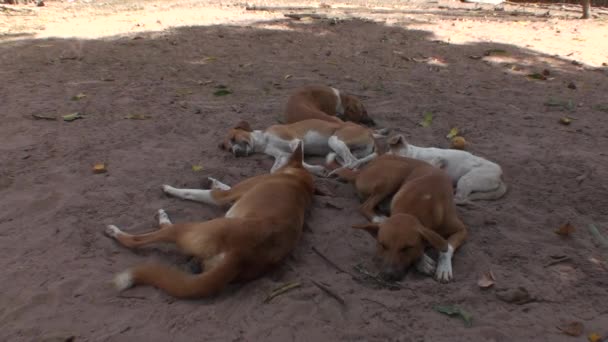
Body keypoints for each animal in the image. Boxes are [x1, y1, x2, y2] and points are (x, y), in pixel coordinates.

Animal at [104, 143, 314, 298]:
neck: (299, 181)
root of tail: (241, 254)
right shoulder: (232, 193)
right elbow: (223, 186)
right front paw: (214, 181)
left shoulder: (223, 196)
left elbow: (194, 192)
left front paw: (172, 189)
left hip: (191, 229)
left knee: (138, 240)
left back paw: (121, 230)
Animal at [220, 119, 384, 176]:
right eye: (229, 149)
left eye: (234, 139)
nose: (235, 153)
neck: (264, 140)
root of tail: (369, 133)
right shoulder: (282, 155)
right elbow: (274, 170)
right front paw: (316, 170)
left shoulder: (296, 142)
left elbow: (300, 161)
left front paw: (317, 169)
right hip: (339, 152)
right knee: (355, 163)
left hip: (334, 140)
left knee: (352, 162)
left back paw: (335, 172)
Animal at [334, 155, 468, 284]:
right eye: (382, 245)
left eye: (407, 248)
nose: (388, 275)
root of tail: (360, 171)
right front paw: (423, 261)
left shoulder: (461, 230)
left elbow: (446, 247)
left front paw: (443, 268)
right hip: (396, 172)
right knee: (365, 206)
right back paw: (379, 218)